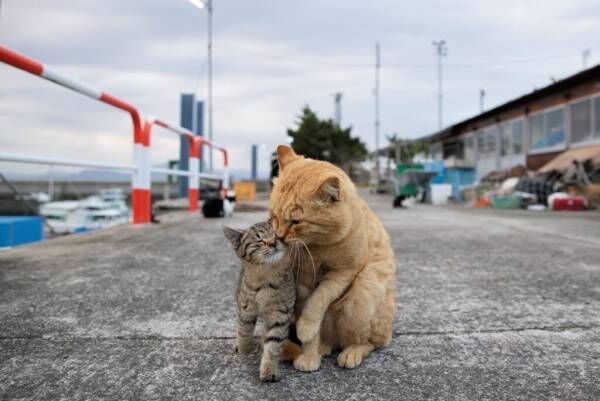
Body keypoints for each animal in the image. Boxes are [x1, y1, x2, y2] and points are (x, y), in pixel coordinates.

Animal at [223, 222, 298, 382]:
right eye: (259, 240)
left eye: (276, 234)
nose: (273, 242)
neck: (266, 279)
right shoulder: (246, 308)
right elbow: (244, 329)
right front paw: (244, 348)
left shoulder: (280, 314)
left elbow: (273, 343)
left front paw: (269, 369)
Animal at [270, 145, 396, 370]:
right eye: (274, 216)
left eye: (296, 221)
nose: (279, 237)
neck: (317, 247)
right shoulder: (301, 283)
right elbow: (311, 320)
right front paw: (310, 355)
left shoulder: (342, 273)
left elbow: (317, 301)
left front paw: (306, 331)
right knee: (332, 339)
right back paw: (323, 347)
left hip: (365, 291)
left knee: (371, 342)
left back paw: (351, 353)